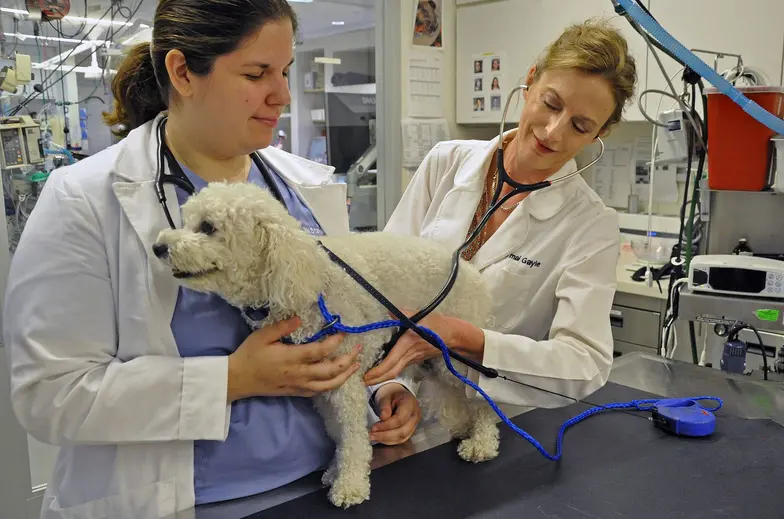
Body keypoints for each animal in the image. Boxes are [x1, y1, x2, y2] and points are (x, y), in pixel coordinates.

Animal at [153, 182, 500, 508]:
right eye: (186, 221)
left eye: (208, 227)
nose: (158, 246)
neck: (302, 281)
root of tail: (469, 270)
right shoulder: (324, 388)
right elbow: (338, 434)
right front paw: (336, 470)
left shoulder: (346, 383)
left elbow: (353, 437)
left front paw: (350, 485)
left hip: (454, 357)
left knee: (483, 399)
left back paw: (481, 442)